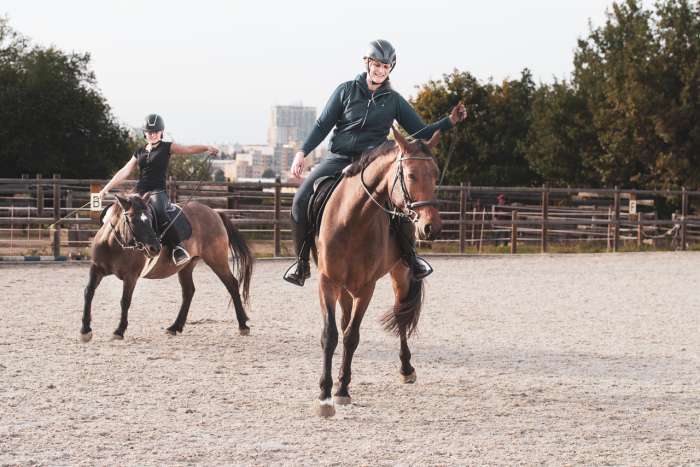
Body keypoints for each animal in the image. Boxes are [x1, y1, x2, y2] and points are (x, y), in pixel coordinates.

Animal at [80, 194, 254, 344]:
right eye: (133, 220)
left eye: (150, 219)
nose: (155, 248)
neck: (114, 244)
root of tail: (214, 212)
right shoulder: (96, 269)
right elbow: (89, 292)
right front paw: (85, 330)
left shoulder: (131, 276)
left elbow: (125, 301)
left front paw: (119, 331)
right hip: (187, 266)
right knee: (189, 291)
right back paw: (175, 327)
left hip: (216, 260)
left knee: (232, 284)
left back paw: (243, 325)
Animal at [314, 128, 442, 416]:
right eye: (410, 175)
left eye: (436, 174)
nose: (430, 227)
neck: (352, 220)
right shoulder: (328, 282)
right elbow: (331, 335)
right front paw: (325, 395)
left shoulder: (366, 288)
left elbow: (352, 337)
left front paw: (341, 390)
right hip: (344, 288)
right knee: (344, 321)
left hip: (400, 275)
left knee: (401, 316)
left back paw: (406, 369)